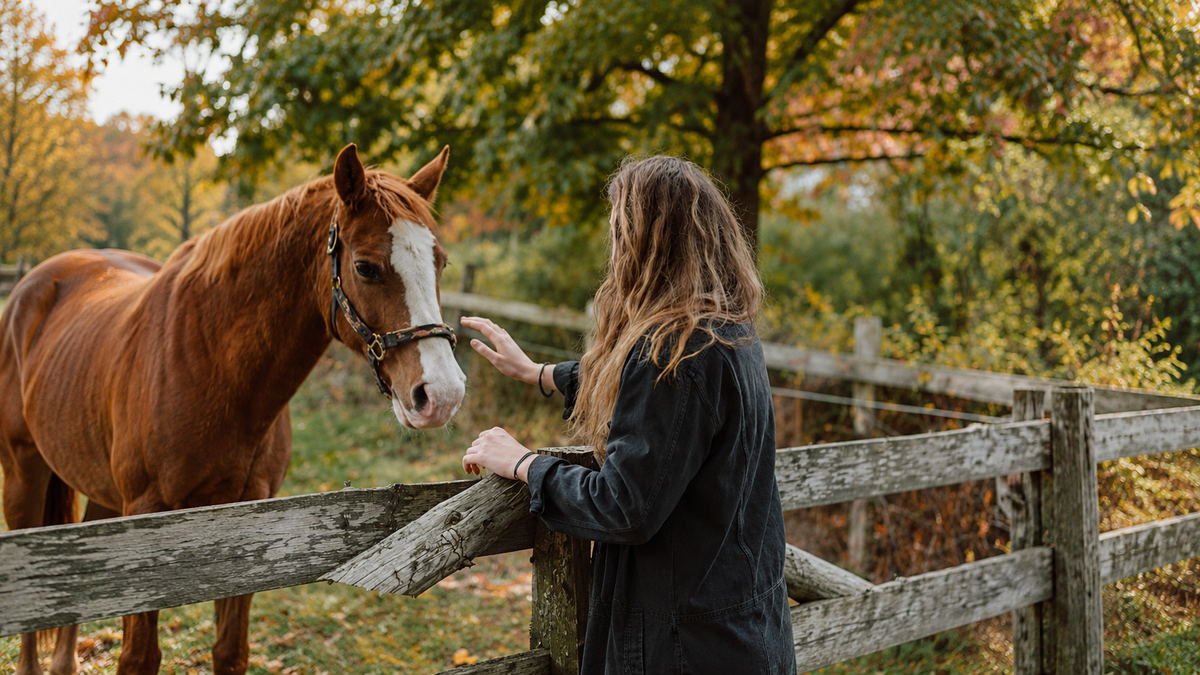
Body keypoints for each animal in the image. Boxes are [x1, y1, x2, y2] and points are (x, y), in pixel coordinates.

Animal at [0, 144, 466, 675]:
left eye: (441, 262)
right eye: (366, 266)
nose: (442, 393)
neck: (212, 369)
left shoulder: (248, 523)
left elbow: (229, 650)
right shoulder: (146, 519)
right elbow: (139, 656)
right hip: (23, 476)